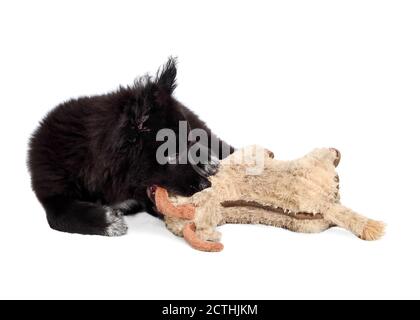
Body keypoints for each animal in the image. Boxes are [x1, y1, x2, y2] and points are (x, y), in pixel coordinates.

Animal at [27, 58, 235, 236]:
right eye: (173, 154)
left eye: (187, 145)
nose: (206, 186)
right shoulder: (49, 191)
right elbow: (58, 216)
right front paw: (109, 222)